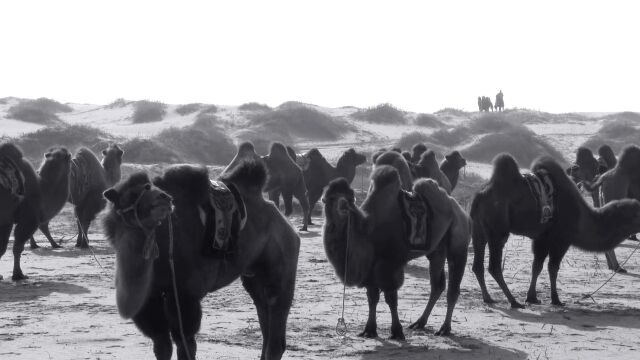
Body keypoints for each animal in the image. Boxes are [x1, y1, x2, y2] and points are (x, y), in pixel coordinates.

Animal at [104, 160, 300, 360]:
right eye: (132, 194)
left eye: (152, 186)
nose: (164, 198)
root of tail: (281, 217)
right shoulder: (150, 298)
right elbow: (161, 344)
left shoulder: (184, 293)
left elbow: (185, 343)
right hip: (253, 274)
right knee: (262, 310)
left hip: (281, 259)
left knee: (276, 309)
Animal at [324, 165, 470, 338]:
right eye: (330, 198)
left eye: (351, 198)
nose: (343, 205)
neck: (368, 231)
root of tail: (457, 206)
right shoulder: (371, 268)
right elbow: (372, 297)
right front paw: (369, 330)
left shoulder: (390, 264)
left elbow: (391, 298)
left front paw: (397, 332)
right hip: (437, 251)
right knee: (437, 285)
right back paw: (420, 323)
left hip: (458, 242)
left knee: (453, 288)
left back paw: (444, 328)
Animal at [470, 152, 640, 306]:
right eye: (635, 213)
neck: (581, 218)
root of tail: (479, 196)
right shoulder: (561, 239)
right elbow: (553, 268)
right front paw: (556, 299)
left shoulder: (542, 238)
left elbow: (537, 267)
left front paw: (532, 297)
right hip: (498, 230)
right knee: (494, 267)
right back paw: (513, 301)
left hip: (478, 231)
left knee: (477, 265)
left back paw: (488, 298)